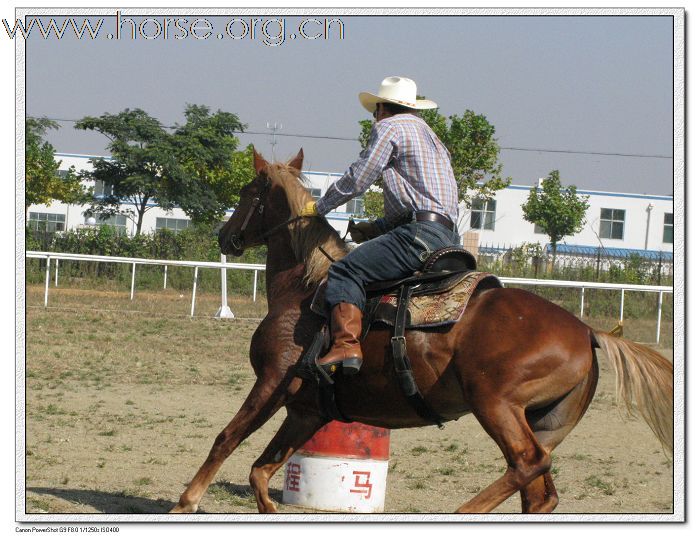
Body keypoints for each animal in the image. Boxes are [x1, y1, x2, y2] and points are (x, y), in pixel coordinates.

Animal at [171, 149, 672, 512]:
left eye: (245, 191)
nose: (224, 237)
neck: (306, 289)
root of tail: (587, 332)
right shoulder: (307, 410)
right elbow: (260, 471)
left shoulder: (273, 382)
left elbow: (227, 439)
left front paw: (186, 503)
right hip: (546, 421)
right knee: (539, 492)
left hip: (496, 405)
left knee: (529, 464)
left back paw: (465, 512)